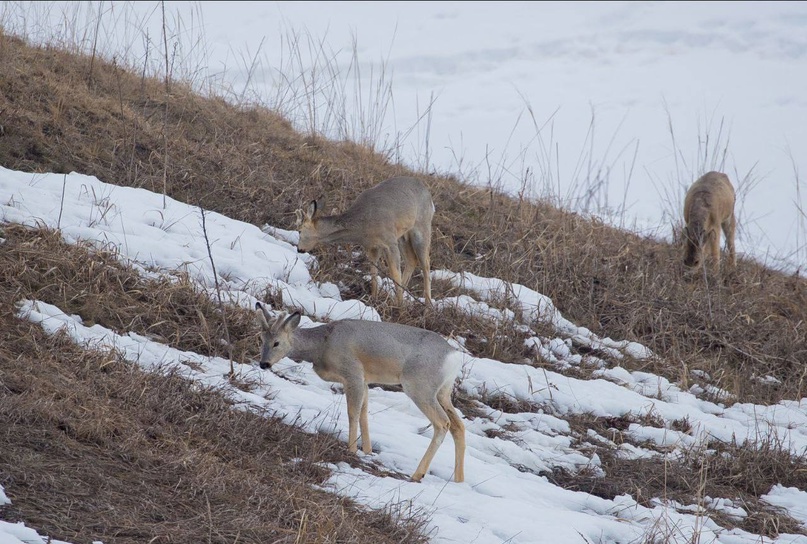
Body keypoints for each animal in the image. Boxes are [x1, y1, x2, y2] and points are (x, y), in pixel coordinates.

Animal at [252, 302, 468, 484]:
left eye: (277, 342)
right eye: (261, 338)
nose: (264, 364)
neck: (323, 345)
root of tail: (454, 357)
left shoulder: (353, 373)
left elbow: (352, 413)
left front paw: (351, 449)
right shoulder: (364, 380)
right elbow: (364, 413)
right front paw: (367, 450)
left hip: (419, 386)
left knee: (442, 423)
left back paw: (417, 474)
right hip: (443, 392)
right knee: (458, 426)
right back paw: (458, 480)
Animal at [296, 178, 436, 306]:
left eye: (299, 230)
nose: (299, 249)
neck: (363, 225)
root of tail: (429, 197)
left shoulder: (389, 241)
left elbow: (395, 273)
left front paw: (400, 306)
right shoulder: (372, 246)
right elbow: (373, 272)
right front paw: (374, 298)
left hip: (422, 226)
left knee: (425, 262)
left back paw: (427, 305)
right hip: (403, 235)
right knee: (412, 259)